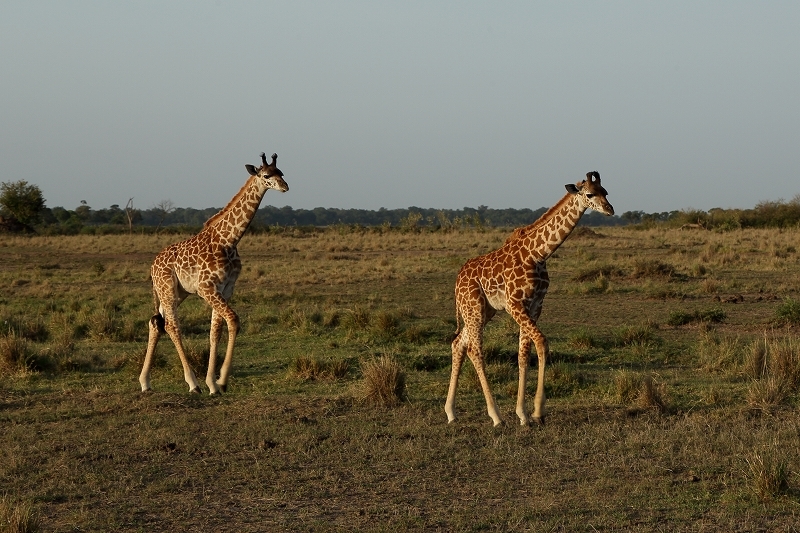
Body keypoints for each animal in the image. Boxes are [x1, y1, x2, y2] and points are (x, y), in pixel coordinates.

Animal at [139, 152, 290, 392]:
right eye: (266, 175)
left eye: (281, 172)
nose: (285, 186)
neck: (228, 240)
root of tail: (153, 265)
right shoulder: (206, 287)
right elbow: (233, 320)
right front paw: (221, 380)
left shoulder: (226, 288)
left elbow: (215, 331)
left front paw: (213, 383)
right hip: (167, 289)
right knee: (172, 326)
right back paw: (192, 383)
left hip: (177, 293)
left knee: (156, 323)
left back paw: (145, 382)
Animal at [444, 172, 612, 426]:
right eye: (590, 194)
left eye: (606, 192)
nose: (610, 209)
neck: (539, 254)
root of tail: (457, 281)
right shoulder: (515, 304)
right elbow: (541, 342)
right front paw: (538, 411)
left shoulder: (535, 305)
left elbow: (523, 354)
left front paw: (523, 414)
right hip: (473, 308)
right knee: (474, 349)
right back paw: (495, 416)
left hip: (482, 311)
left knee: (458, 344)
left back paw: (451, 412)